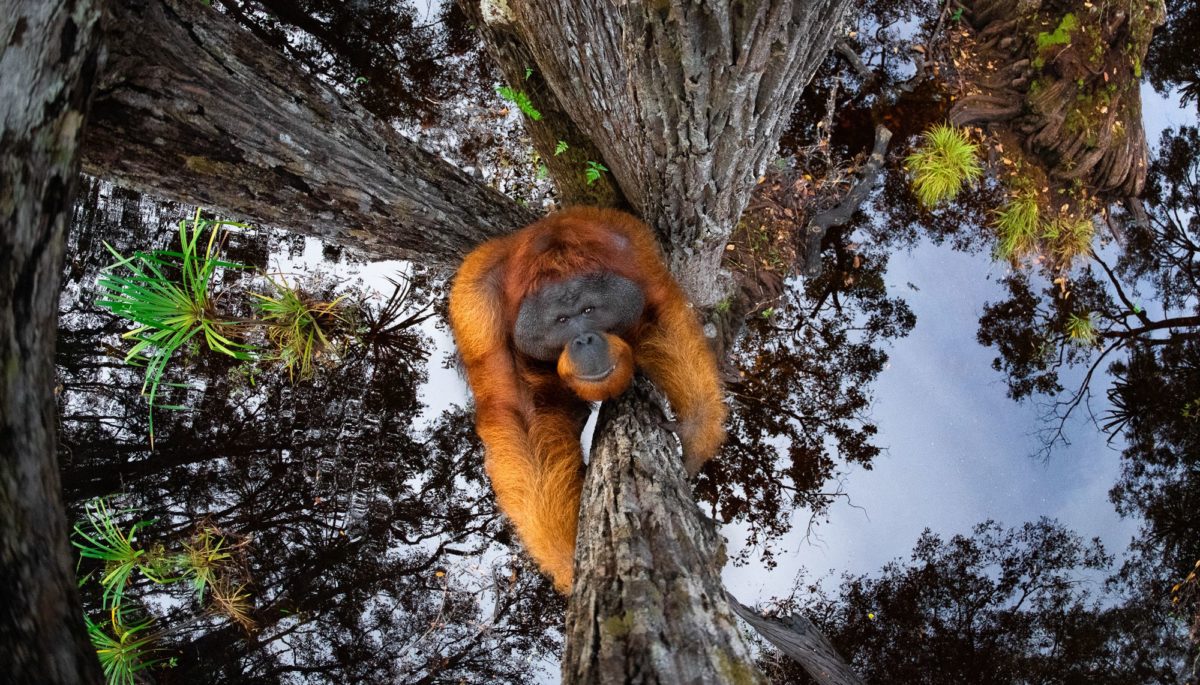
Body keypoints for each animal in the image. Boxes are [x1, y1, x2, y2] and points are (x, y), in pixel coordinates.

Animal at [448, 206, 726, 593]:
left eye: (590, 311)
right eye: (563, 319)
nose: (584, 339)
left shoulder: (635, 255)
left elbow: (661, 319)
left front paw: (695, 431)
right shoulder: (478, 310)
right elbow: (518, 412)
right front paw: (567, 557)